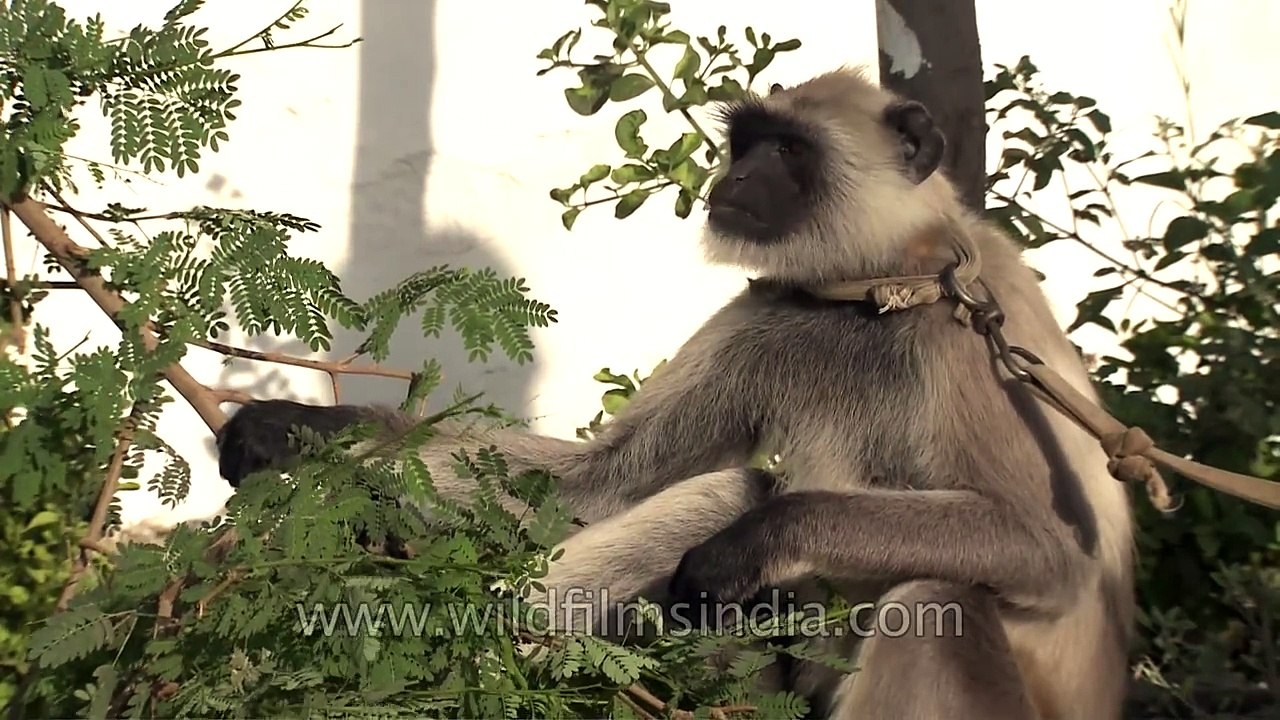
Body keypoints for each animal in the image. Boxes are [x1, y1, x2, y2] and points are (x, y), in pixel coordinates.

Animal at [216, 65, 1135, 719]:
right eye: (747, 144)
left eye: (788, 151)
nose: (738, 180)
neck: (870, 291)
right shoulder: (767, 311)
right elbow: (598, 483)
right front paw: (295, 429)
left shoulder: (961, 340)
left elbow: (1045, 556)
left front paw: (753, 545)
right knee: (733, 488)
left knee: (936, 602)